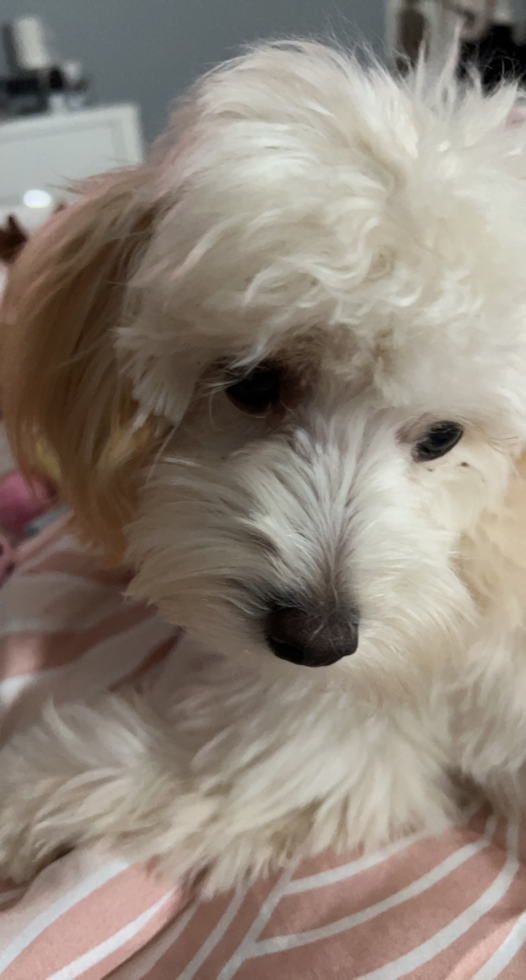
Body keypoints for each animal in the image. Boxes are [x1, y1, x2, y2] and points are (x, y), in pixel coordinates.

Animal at [0, 40, 526, 896]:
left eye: (443, 436)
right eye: (253, 382)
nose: (315, 640)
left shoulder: (325, 742)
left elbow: (154, 773)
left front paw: (16, 799)